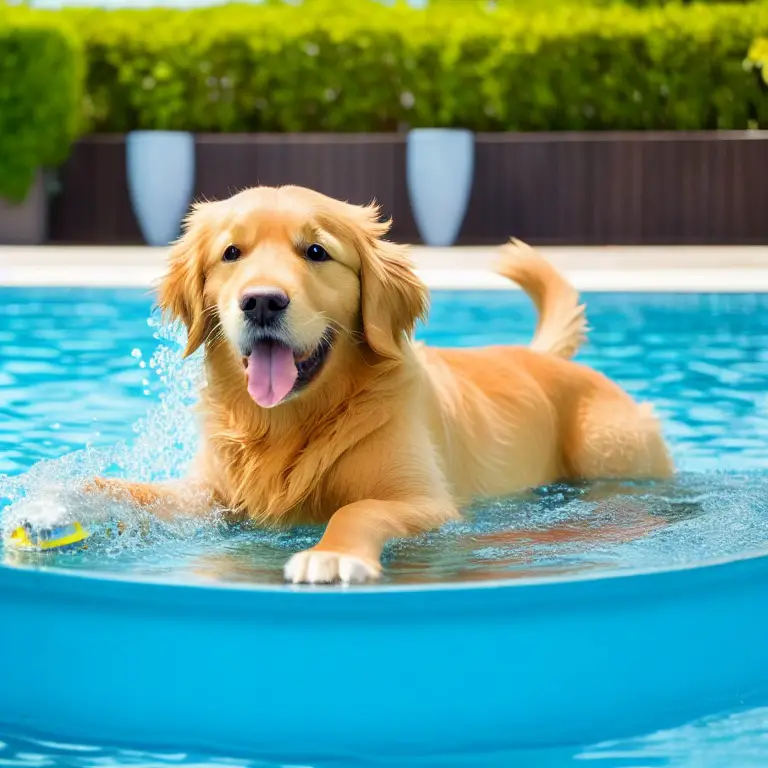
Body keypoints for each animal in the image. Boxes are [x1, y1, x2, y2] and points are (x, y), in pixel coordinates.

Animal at [90, 184, 676, 584]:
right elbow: (145, 493)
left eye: (317, 252)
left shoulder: (429, 504)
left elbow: (357, 508)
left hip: (609, 447)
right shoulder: (210, 492)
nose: (261, 302)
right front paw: (75, 497)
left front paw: (331, 554)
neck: (289, 424)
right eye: (231, 253)